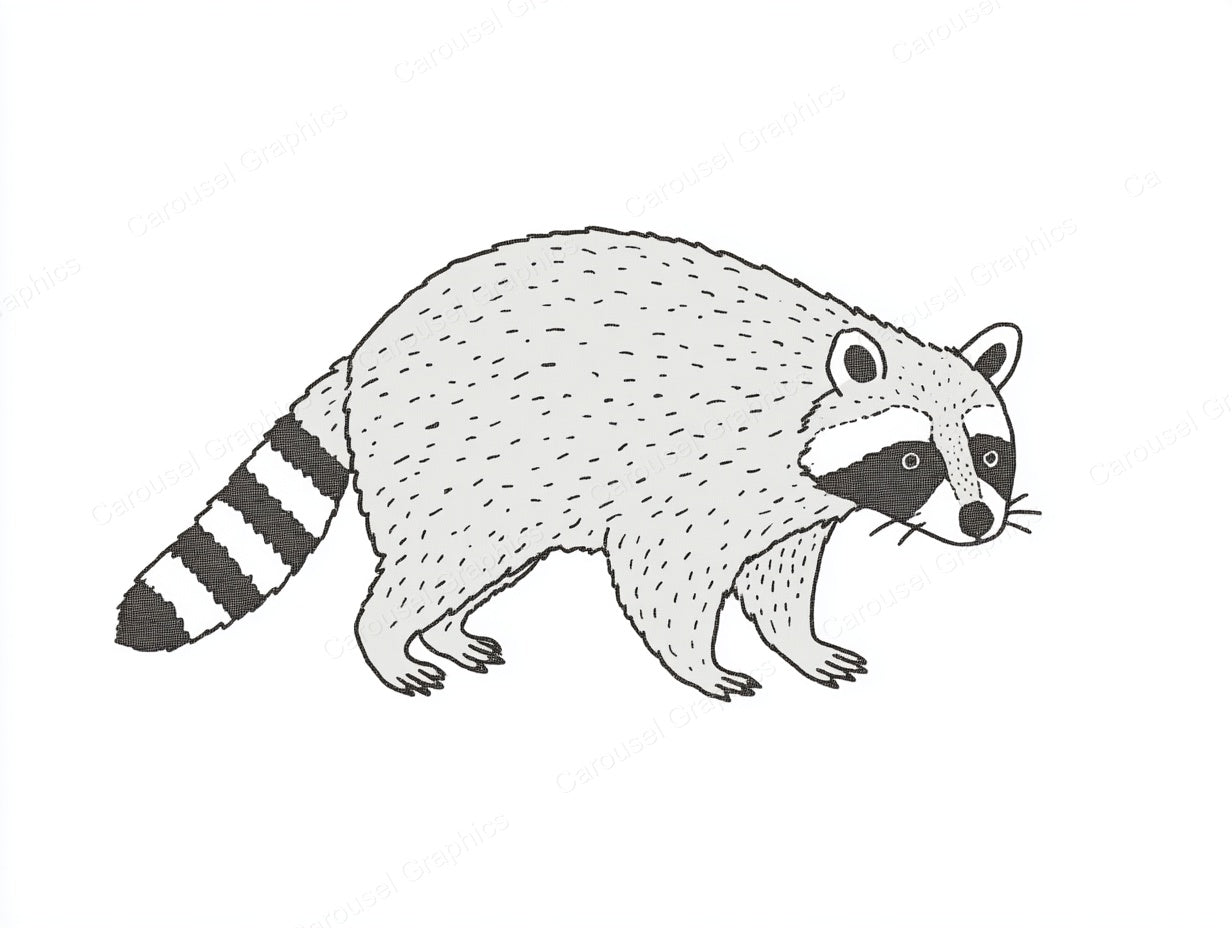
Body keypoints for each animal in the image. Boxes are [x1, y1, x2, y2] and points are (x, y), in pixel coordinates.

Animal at [115, 228, 1033, 700]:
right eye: (913, 458)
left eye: (990, 454)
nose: (980, 520)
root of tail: (364, 352)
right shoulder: (699, 472)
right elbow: (667, 580)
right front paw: (700, 663)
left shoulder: (792, 502)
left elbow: (780, 577)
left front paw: (797, 642)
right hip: (452, 454)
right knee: (429, 565)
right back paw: (389, 638)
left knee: (474, 566)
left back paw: (447, 632)